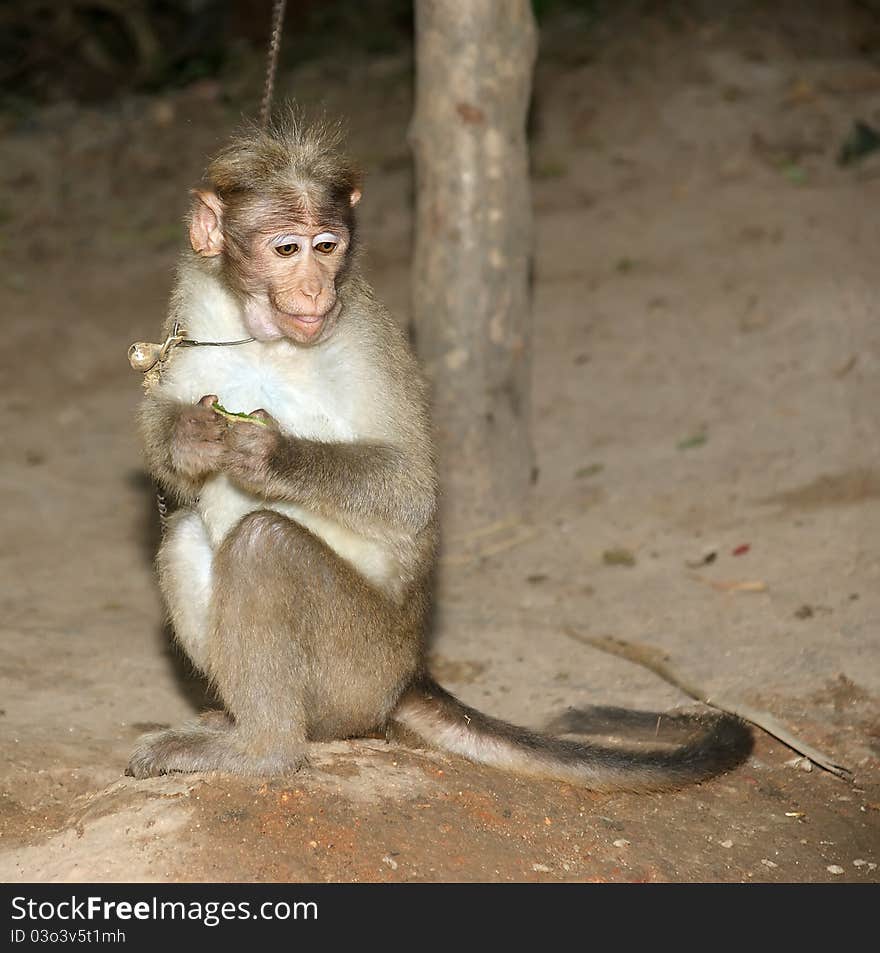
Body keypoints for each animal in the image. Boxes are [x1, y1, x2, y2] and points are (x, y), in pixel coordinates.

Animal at [127, 111, 752, 788]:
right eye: (286, 249)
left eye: (328, 246)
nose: (316, 292)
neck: (265, 337)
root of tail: (407, 677)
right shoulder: (194, 306)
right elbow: (165, 430)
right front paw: (190, 438)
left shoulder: (364, 334)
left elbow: (412, 491)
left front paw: (270, 456)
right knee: (183, 532)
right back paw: (236, 720)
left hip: (358, 667)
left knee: (264, 544)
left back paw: (265, 749)